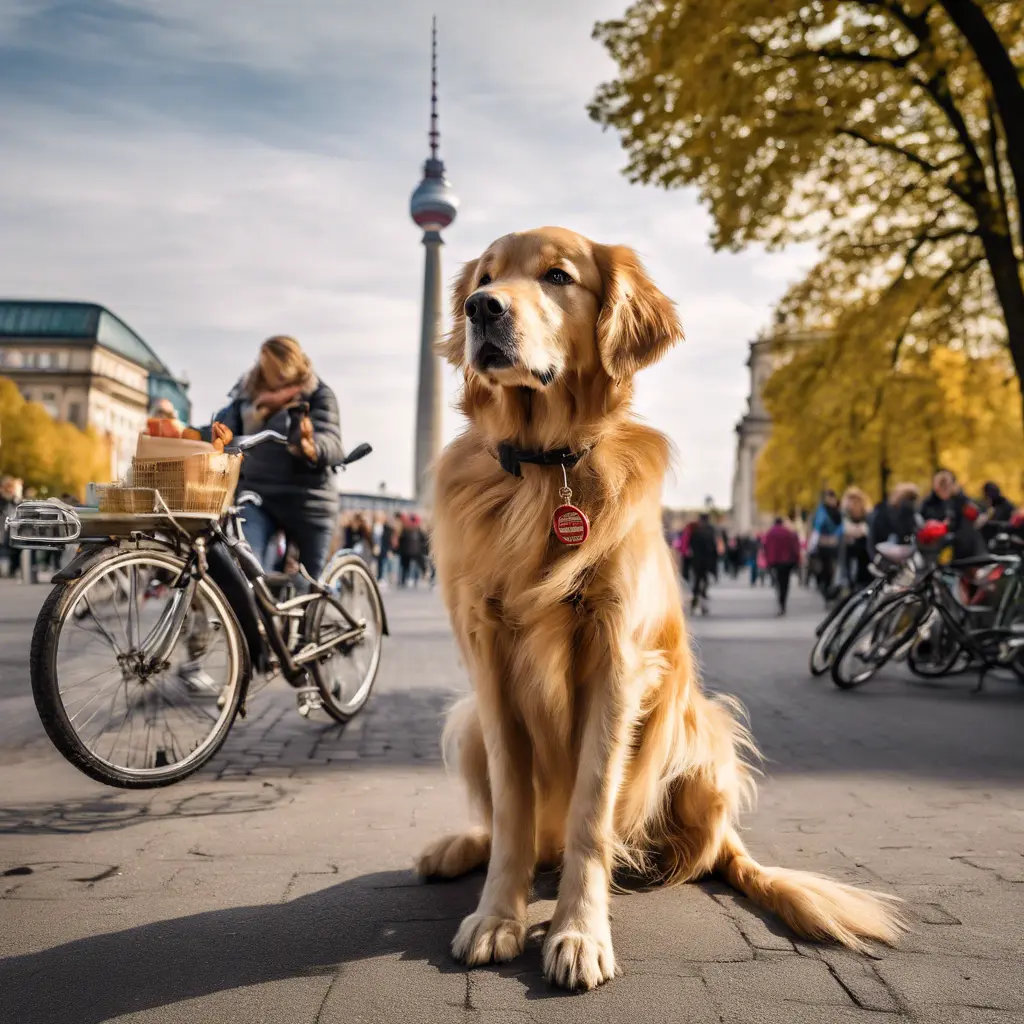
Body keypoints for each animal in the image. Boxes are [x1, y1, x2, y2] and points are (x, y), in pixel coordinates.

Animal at [415, 228, 897, 987]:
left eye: (558, 276)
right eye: (485, 277)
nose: (479, 308)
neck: (546, 467)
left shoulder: (617, 665)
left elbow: (590, 816)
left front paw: (578, 933)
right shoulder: (490, 667)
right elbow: (515, 812)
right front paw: (498, 917)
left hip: (704, 738)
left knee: (700, 855)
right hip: (466, 723)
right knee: (524, 832)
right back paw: (460, 846)